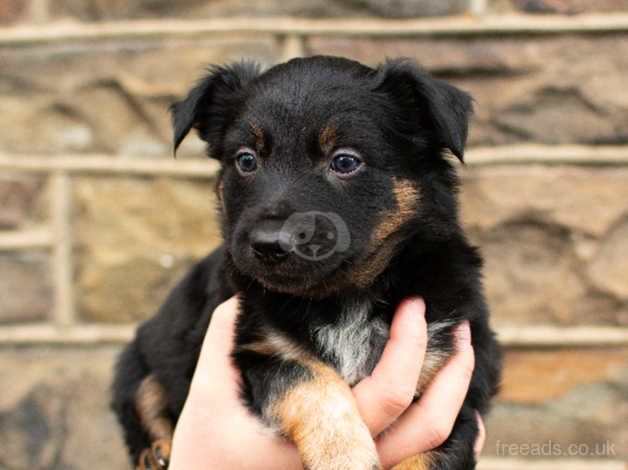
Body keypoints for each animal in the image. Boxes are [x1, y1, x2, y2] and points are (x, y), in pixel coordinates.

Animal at [111, 56, 500, 470]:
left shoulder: (453, 390)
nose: (268, 245)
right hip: (136, 362)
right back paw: (158, 453)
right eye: (246, 159)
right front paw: (343, 454)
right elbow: (308, 379)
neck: (345, 296)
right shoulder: (261, 349)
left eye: (344, 161)